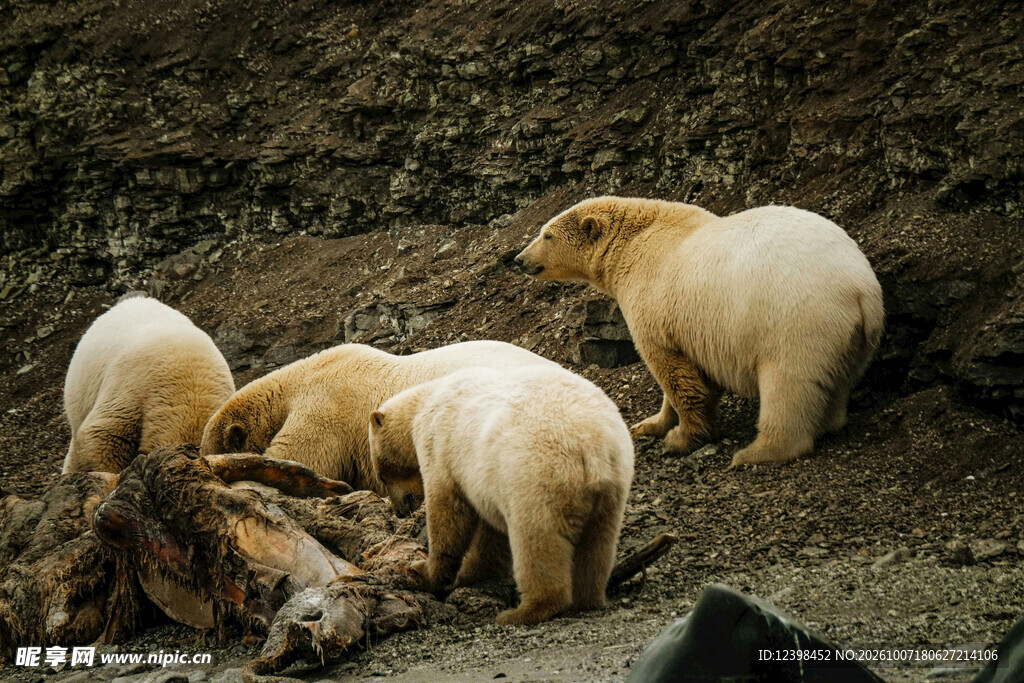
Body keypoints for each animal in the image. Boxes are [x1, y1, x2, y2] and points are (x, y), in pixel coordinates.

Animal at [367, 364, 634, 626]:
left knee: (536, 540)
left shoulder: (440, 447)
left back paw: (524, 611)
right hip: (613, 484)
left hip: (537, 476)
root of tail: (592, 446)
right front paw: (472, 573)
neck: (422, 405)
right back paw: (587, 597)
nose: (399, 510)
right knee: (599, 542)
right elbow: (490, 534)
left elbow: (448, 513)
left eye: (382, 475)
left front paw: (424, 571)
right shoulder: (485, 482)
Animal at [514, 196, 884, 467]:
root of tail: (860, 289)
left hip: (796, 321)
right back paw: (831, 421)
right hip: (853, 337)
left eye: (546, 235)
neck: (633, 241)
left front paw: (682, 437)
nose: (518, 259)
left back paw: (755, 452)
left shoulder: (656, 304)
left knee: (788, 385)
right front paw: (650, 423)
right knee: (838, 379)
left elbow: (674, 373)